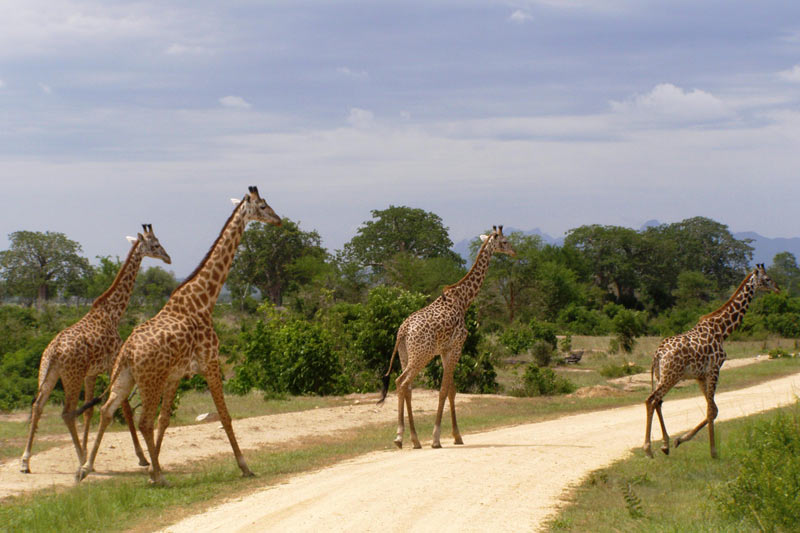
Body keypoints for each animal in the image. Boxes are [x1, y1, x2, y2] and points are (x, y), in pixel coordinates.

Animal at [19, 222, 170, 472]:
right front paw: (141, 457)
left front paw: (89, 452)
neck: (113, 313)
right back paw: (80, 458)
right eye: (156, 244)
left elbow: (89, 411)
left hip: (48, 373)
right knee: (66, 413)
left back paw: (25, 461)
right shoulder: (113, 365)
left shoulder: (92, 373)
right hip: (72, 376)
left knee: (38, 406)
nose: (168, 258)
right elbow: (124, 408)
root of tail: (54, 351)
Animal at [76, 186, 282, 482]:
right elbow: (225, 416)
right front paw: (245, 466)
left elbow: (165, 420)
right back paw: (157, 477)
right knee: (143, 420)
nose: (279, 220)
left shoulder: (176, 374)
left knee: (108, 410)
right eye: (263, 206)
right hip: (150, 380)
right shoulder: (210, 362)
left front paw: (156, 464)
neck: (204, 300)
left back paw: (86, 467)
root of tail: (127, 351)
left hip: (125, 377)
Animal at [378, 222, 516, 446]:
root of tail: (403, 331)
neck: (463, 300)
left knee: (406, 388)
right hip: (421, 355)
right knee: (402, 382)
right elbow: (444, 390)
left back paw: (413, 439)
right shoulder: (457, 346)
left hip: (404, 355)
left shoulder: (445, 350)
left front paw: (457, 436)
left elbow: (451, 390)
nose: (514, 251)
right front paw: (436, 438)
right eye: (504, 241)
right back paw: (402, 437)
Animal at [644, 262, 780, 458]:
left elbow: (713, 409)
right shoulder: (715, 369)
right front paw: (714, 452)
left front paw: (680, 440)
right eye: (767, 279)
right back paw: (648, 449)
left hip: (662, 376)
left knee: (658, 402)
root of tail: (658, 354)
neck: (722, 330)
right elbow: (711, 411)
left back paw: (665, 445)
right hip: (671, 376)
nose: (778, 288)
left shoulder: (701, 375)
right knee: (651, 400)